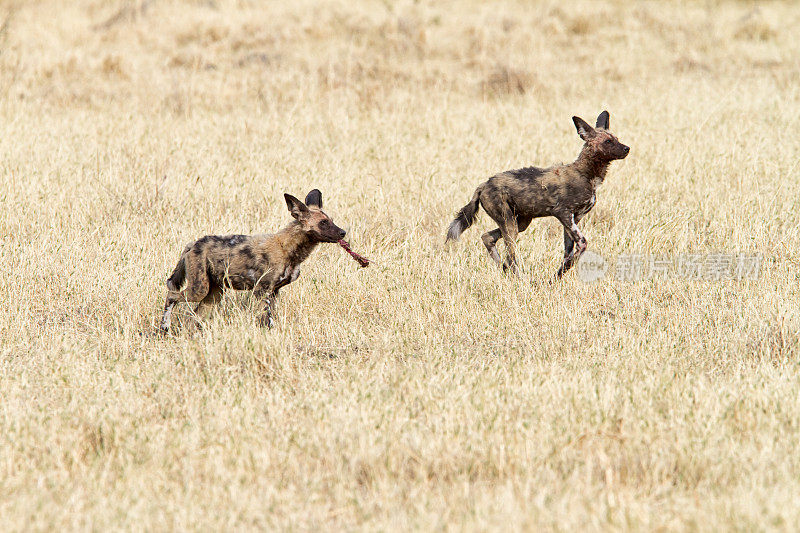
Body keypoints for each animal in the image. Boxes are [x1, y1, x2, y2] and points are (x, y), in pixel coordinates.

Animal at [161, 189, 346, 332]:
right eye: (323, 223)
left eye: (331, 221)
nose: (343, 232)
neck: (288, 248)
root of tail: (193, 244)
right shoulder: (261, 290)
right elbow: (268, 319)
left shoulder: (274, 291)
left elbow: (272, 316)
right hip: (199, 289)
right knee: (172, 296)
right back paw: (164, 327)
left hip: (213, 294)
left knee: (194, 317)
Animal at [446, 111, 628, 278]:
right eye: (608, 141)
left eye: (617, 139)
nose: (627, 148)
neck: (586, 173)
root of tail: (483, 185)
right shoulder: (562, 213)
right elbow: (582, 244)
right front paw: (554, 278)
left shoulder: (574, 218)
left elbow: (568, 252)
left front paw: (556, 279)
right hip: (510, 226)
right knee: (511, 257)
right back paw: (517, 279)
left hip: (520, 223)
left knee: (487, 237)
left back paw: (505, 271)